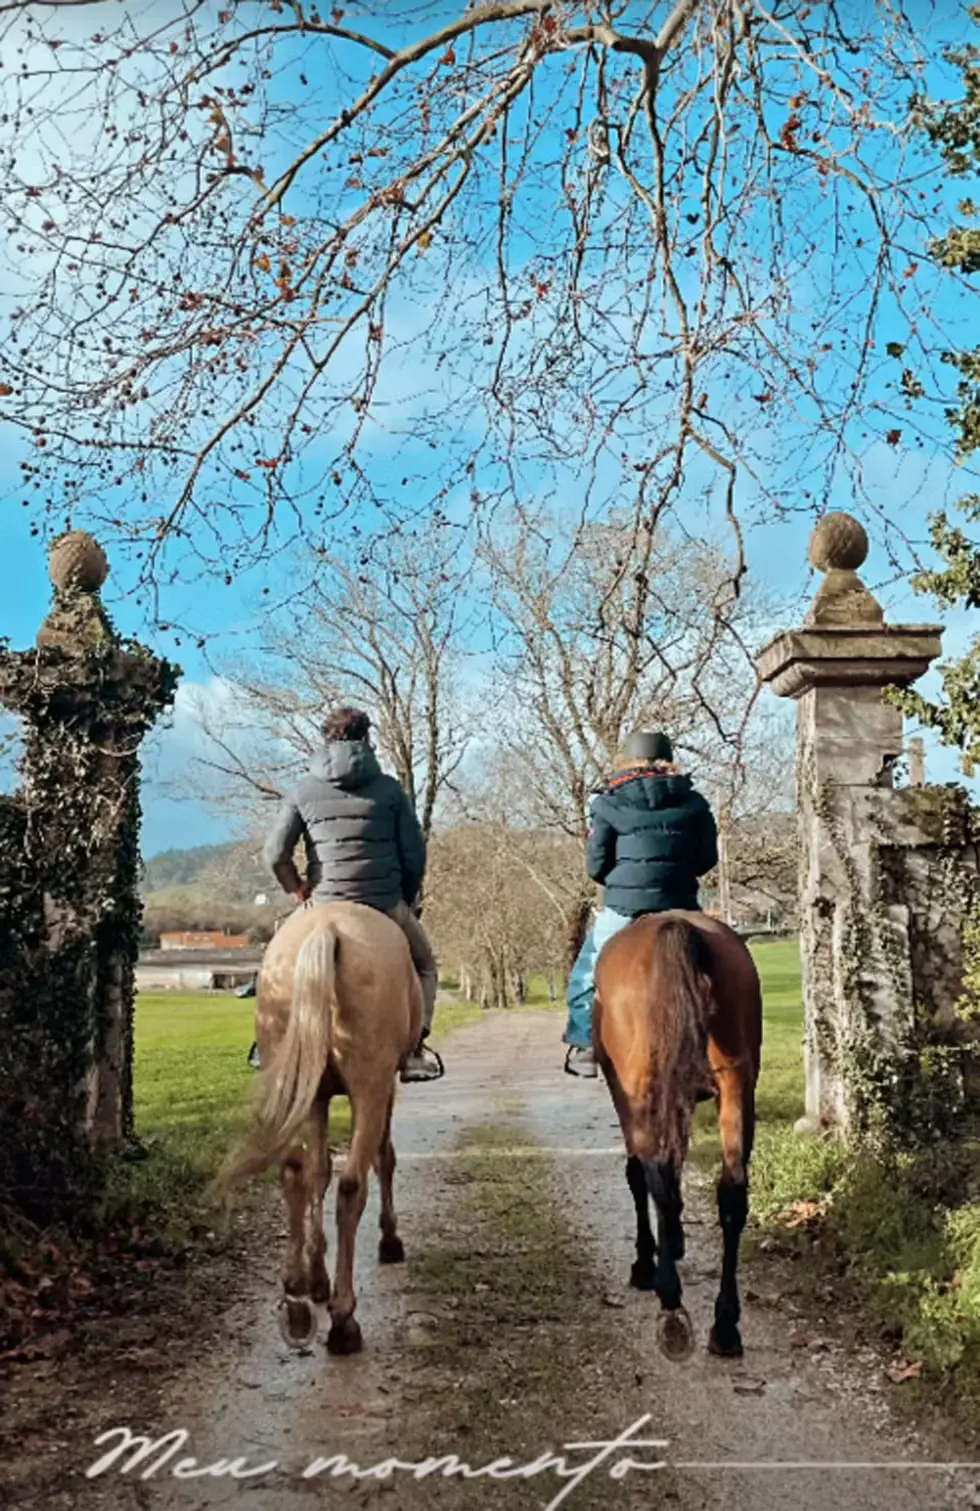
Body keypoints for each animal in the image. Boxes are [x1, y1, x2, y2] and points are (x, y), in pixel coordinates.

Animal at [214, 894, 419, 1359]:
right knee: (352, 1185)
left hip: (295, 1078)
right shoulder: (385, 1088)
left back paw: (296, 1298)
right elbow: (383, 1159)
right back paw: (344, 1322)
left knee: (295, 1171)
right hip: (369, 1086)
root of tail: (328, 929)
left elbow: (318, 1170)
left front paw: (316, 1276)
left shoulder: (318, 1098)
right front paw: (389, 1241)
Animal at [588, 912, 764, 1365]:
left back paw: (669, 1304)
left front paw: (646, 1261)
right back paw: (725, 1325)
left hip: (641, 1089)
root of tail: (676, 926)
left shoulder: (625, 1095)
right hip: (736, 1086)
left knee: (658, 1179)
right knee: (731, 1193)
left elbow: (638, 1176)